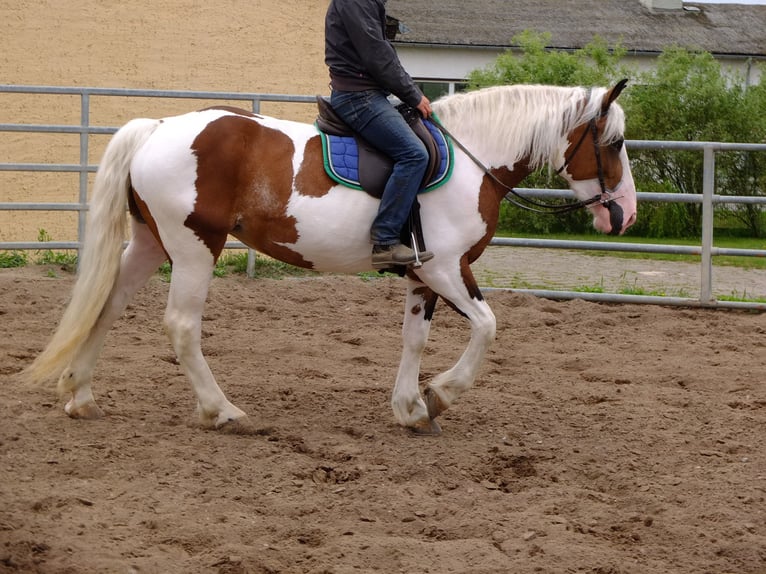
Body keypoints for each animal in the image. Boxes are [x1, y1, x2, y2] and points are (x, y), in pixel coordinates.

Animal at [27, 82, 640, 436]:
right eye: (612, 143)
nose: (625, 214)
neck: (472, 159)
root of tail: (156, 127)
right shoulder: (446, 268)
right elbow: (488, 327)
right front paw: (440, 395)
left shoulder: (421, 274)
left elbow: (414, 339)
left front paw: (410, 407)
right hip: (194, 245)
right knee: (181, 325)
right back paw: (221, 411)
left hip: (152, 243)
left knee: (107, 305)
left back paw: (81, 396)